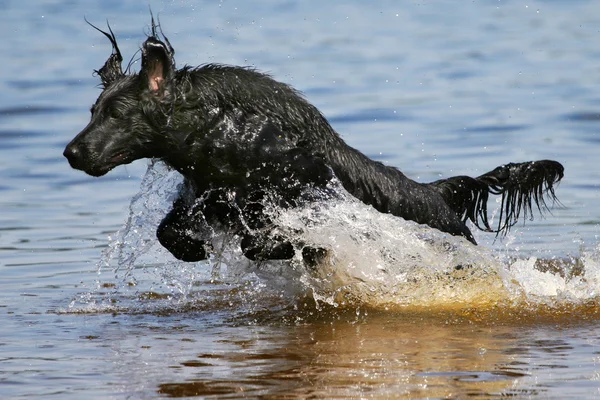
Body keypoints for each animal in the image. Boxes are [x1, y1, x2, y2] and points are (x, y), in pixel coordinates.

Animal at [64, 18, 564, 264]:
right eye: (92, 111)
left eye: (117, 114)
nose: (71, 152)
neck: (225, 133)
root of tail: (436, 192)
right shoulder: (205, 196)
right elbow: (169, 230)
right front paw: (195, 249)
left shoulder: (304, 195)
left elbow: (267, 240)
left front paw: (289, 249)